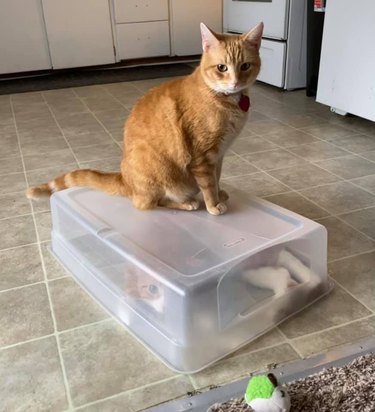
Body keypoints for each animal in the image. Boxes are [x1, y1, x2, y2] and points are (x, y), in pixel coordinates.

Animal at [26, 22, 262, 216]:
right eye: (222, 68)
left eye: (245, 66)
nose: (235, 82)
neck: (227, 100)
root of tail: (124, 179)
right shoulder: (203, 156)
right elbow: (208, 184)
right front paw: (213, 205)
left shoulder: (219, 155)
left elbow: (216, 178)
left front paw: (220, 194)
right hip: (161, 176)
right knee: (147, 203)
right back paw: (187, 203)